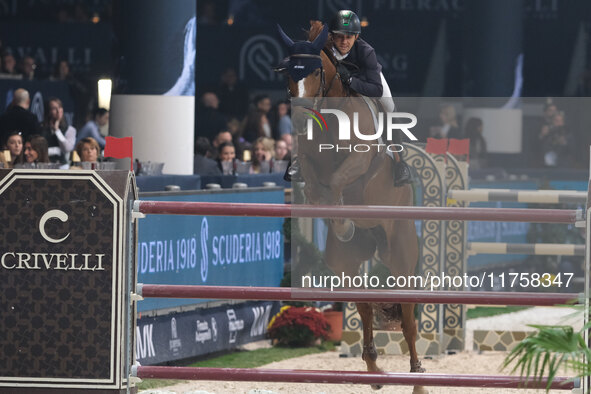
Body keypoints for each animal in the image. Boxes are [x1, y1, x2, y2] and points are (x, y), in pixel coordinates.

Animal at [278, 21, 426, 388]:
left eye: (316, 71)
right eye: (287, 72)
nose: (299, 120)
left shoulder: (359, 162)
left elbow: (338, 180)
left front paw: (342, 219)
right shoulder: (310, 165)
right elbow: (317, 186)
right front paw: (339, 220)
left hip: (401, 255)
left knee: (408, 320)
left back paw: (417, 375)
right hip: (344, 262)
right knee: (365, 306)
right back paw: (374, 370)